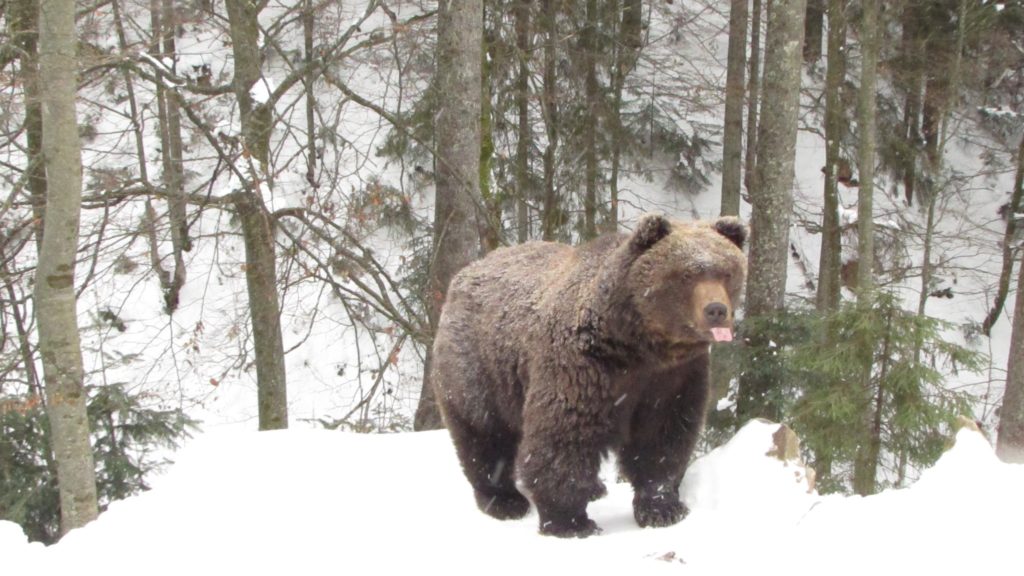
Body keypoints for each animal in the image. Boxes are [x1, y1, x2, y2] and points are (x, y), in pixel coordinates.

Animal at [430, 213, 745, 537]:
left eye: (727, 272)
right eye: (686, 274)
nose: (716, 310)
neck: (639, 346)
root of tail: (466, 272)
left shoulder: (673, 377)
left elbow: (662, 437)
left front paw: (663, 507)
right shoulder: (584, 365)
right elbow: (565, 433)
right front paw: (570, 521)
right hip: (479, 364)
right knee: (484, 430)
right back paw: (504, 500)